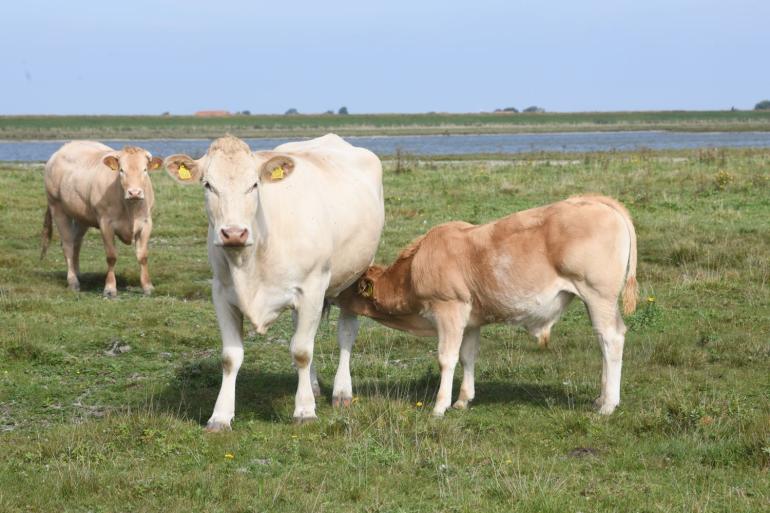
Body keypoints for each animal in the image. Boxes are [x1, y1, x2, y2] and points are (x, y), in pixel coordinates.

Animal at [42, 142, 162, 298]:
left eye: (145, 169)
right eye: (121, 170)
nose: (134, 192)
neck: (130, 208)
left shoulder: (146, 223)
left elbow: (143, 256)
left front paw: (148, 286)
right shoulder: (106, 223)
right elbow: (111, 256)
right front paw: (110, 288)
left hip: (82, 217)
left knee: (76, 242)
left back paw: (78, 273)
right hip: (57, 208)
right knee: (67, 245)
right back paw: (73, 281)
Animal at [167, 133, 384, 428]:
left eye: (254, 184)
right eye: (208, 184)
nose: (233, 233)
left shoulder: (313, 288)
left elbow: (302, 351)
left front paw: (304, 410)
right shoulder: (221, 293)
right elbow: (230, 357)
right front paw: (220, 416)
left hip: (356, 274)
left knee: (346, 332)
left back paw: (342, 391)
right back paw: (313, 386)